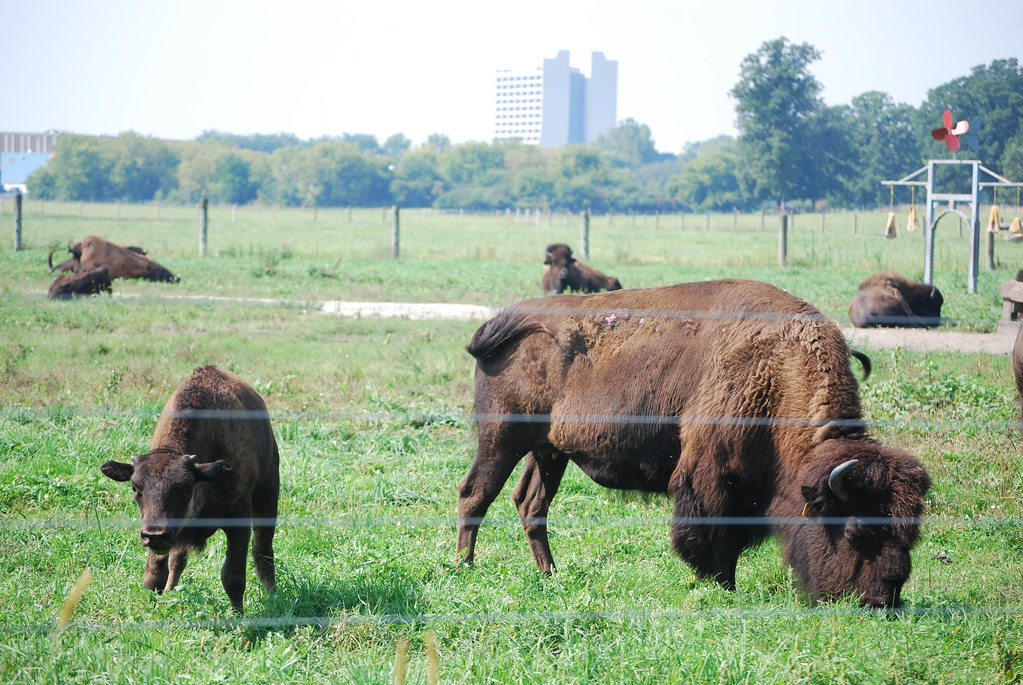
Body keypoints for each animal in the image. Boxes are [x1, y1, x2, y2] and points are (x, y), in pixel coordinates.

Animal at [101, 365, 279, 613]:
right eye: (135, 488)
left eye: (186, 488)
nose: (155, 536)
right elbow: (154, 575)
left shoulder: (238, 522)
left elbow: (233, 576)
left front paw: (238, 615)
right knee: (178, 559)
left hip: (268, 492)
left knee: (262, 549)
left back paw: (273, 596)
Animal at [458, 279, 930, 607]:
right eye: (853, 532)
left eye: (910, 535)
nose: (880, 602)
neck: (778, 367)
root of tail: (504, 322)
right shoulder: (711, 477)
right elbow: (712, 534)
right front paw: (719, 585)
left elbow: (732, 539)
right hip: (502, 438)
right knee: (474, 494)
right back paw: (464, 567)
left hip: (548, 451)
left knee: (530, 503)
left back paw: (549, 574)